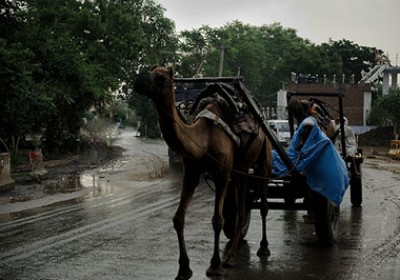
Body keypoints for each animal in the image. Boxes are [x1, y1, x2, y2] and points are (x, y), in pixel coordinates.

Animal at [134, 67, 272, 280]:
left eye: (161, 77)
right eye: (149, 71)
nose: (137, 82)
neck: (203, 139)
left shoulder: (222, 173)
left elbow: (217, 220)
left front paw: (214, 266)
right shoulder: (190, 173)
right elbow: (178, 218)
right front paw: (184, 269)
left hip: (264, 156)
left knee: (264, 205)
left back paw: (263, 248)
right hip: (241, 171)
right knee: (241, 210)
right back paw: (232, 257)